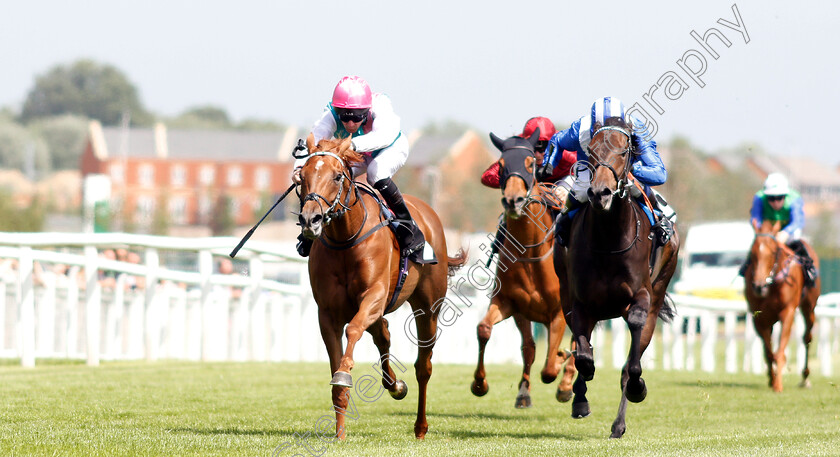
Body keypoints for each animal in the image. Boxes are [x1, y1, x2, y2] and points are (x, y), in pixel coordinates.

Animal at [296, 134, 470, 438]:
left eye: (337, 176)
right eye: (302, 175)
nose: (310, 220)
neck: (346, 239)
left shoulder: (374, 296)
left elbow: (353, 330)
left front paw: (345, 373)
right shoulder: (327, 313)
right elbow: (337, 375)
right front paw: (339, 433)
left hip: (428, 308)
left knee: (423, 365)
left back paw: (420, 426)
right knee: (384, 333)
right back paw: (395, 386)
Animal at [472, 130, 576, 408]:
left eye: (530, 163)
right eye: (501, 165)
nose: (513, 200)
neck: (529, 252)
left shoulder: (559, 312)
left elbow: (549, 369)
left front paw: (560, 360)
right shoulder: (510, 303)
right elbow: (484, 330)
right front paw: (480, 384)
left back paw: (566, 383)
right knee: (530, 348)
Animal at [556, 121, 680, 438]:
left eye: (624, 151)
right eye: (591, 150)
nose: (600, 193)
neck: (609, 240)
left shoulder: (641, 296)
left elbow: (632, 362)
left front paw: (638, 388)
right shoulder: (580, 302)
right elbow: (583, 355)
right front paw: (582, 391)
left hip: (659, 289)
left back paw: (619, 423)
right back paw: (580, 398)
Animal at [744, 219, 816, 390]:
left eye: (773, 252)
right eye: (753, 253)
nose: (759, 287)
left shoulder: (788, 312)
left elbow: (780, 351)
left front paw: (778, 385)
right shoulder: (759, 318)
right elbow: (769, 353)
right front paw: (772, 379)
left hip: (809, 308)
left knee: (807, 337)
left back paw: (805, 377)